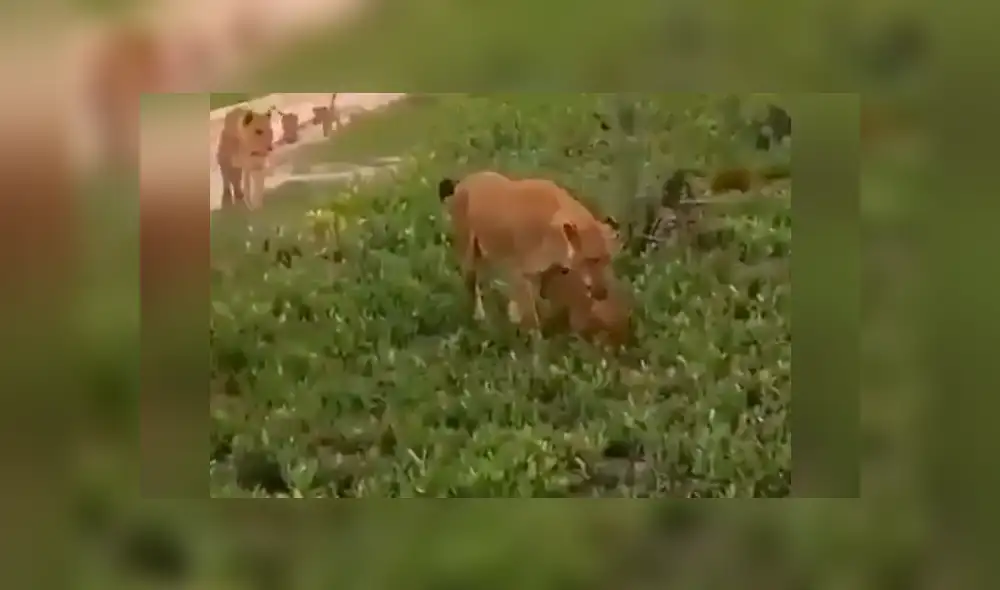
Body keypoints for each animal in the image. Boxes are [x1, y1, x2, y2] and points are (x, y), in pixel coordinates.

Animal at [438, 170, 620, 330]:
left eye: (608, 259)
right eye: (593, 259)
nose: (603, 293)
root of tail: (463, 182)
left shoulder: (541, 275)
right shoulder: (522, 275)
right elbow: (532, 320)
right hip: (469, 258)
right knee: (472, 288)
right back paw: (480, 319)